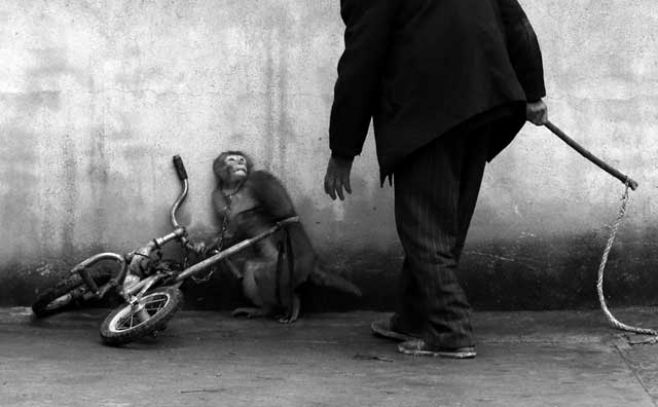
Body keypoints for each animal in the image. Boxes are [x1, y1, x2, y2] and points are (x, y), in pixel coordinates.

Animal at [202, 151, 362, 326]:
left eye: (241, 159)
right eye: (231, 159)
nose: (240, 164)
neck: (235, 188)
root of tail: (312, 262)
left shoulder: (260, 179)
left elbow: (285, 212)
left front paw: (244, 217)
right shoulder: (217, 195)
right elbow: (229, 232)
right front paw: (207, 245)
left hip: (296, 265)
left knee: (265, 276)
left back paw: (293, 303)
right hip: (276, 262)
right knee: (252, 268)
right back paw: (265, 309)